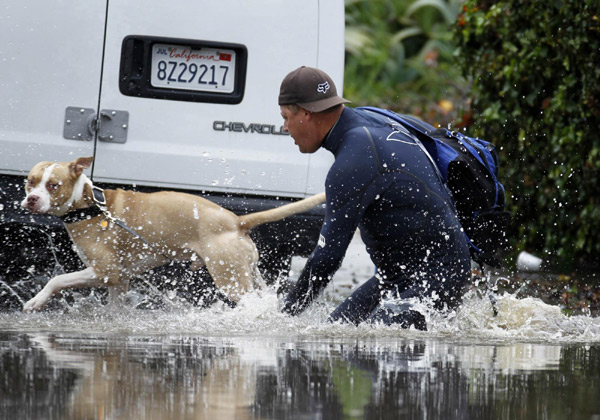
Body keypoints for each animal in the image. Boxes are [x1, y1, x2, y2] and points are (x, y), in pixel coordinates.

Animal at [21, 158, 326, 312]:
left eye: (53, 185)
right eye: (30, 181)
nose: (32, 200)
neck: (89, 206)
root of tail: (237, 221)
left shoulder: (104, 272)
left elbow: (57, 280)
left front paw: (36, 300)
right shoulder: (120, 280)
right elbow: (114, 310)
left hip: (230, 279)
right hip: (249, 273)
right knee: (267, 299)